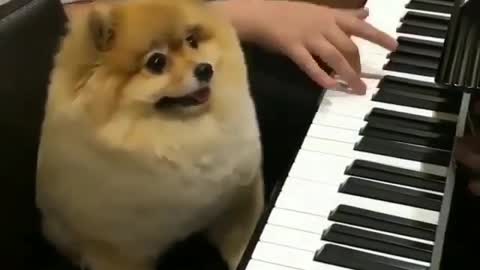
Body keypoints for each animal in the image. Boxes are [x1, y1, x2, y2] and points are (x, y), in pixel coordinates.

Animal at [35, 0, 264, 270]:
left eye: (192, 41)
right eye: (156, 62)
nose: (205, 69)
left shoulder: (237, 200)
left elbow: (242, 234)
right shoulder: (117, 251)